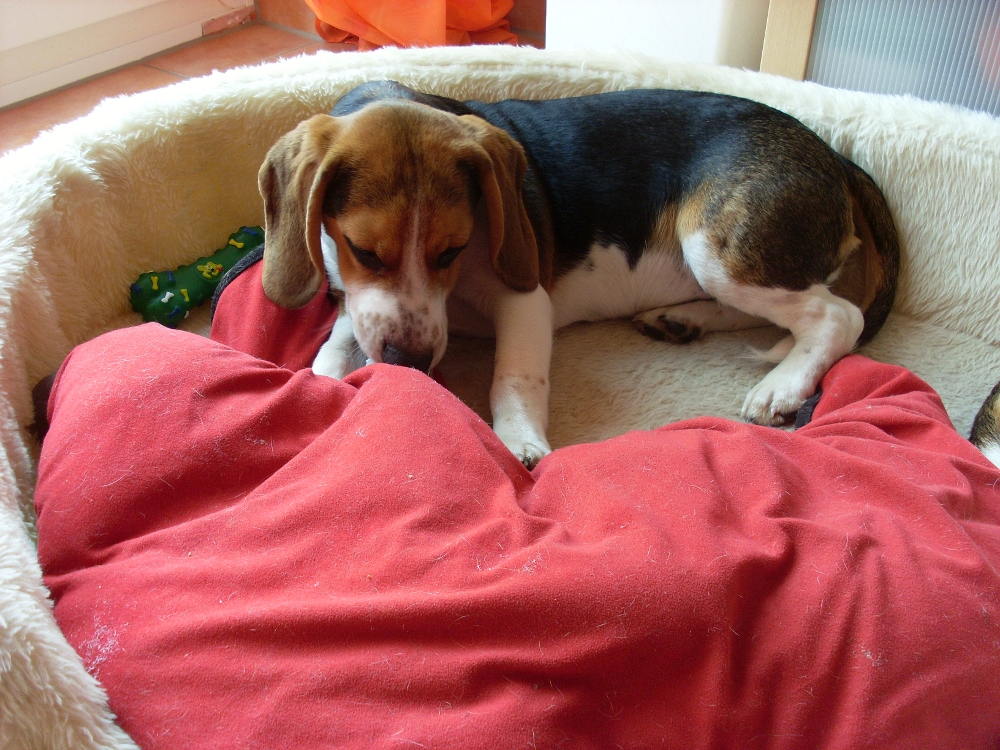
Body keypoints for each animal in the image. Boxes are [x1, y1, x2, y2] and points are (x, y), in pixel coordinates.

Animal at [257, 80, 900, 468]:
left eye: (452, 250)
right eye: (363, 251)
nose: (410, 362)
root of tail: (833, 154)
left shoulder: (524, 297)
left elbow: (514, 378)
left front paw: (520, 443)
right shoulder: (355, 299)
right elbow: (334, 348)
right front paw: (324, 387)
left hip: (716, 248)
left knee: (838, 316)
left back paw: (781, 386)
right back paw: (678, 320)